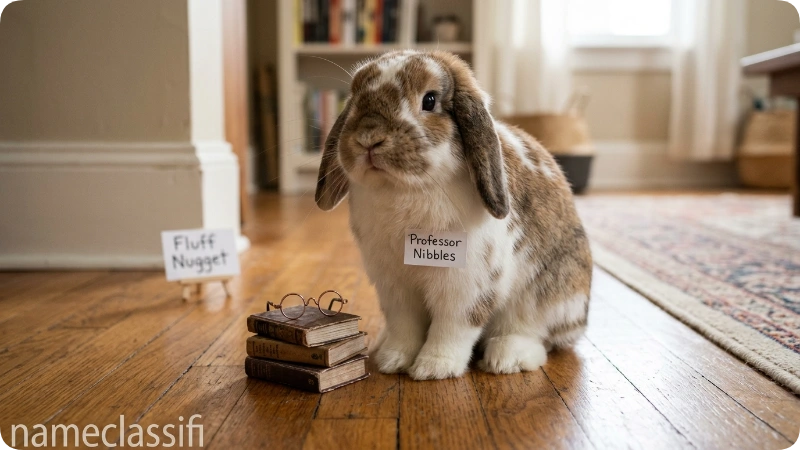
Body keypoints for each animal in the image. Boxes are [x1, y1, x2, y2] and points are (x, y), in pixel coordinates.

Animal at [315, 50, 592, 380]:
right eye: (355, 97)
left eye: (430, 100)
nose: (369, 137)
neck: (403, 188)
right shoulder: (394, 286)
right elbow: (404, 326)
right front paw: (393, 361)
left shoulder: (465, 286)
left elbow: (453, 328)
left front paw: (434, 368)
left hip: (547, 296)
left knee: (536, 333)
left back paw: (507, 358)